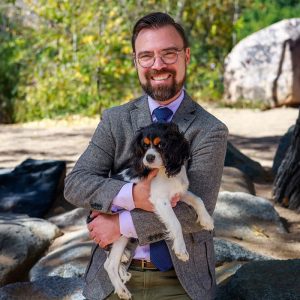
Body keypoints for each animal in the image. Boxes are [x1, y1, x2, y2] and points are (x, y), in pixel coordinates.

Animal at [102, 123, 214, 298]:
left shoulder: (179, 193)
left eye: (161, 145)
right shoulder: (161, 200)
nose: (148, 158)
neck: (164, 171)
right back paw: (122, 290)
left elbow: (198, 199)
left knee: (110, 262)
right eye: (145, 145)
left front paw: (206, 220)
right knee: (110, 264)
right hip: (120, 232)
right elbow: (175, 223)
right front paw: (181, 249)